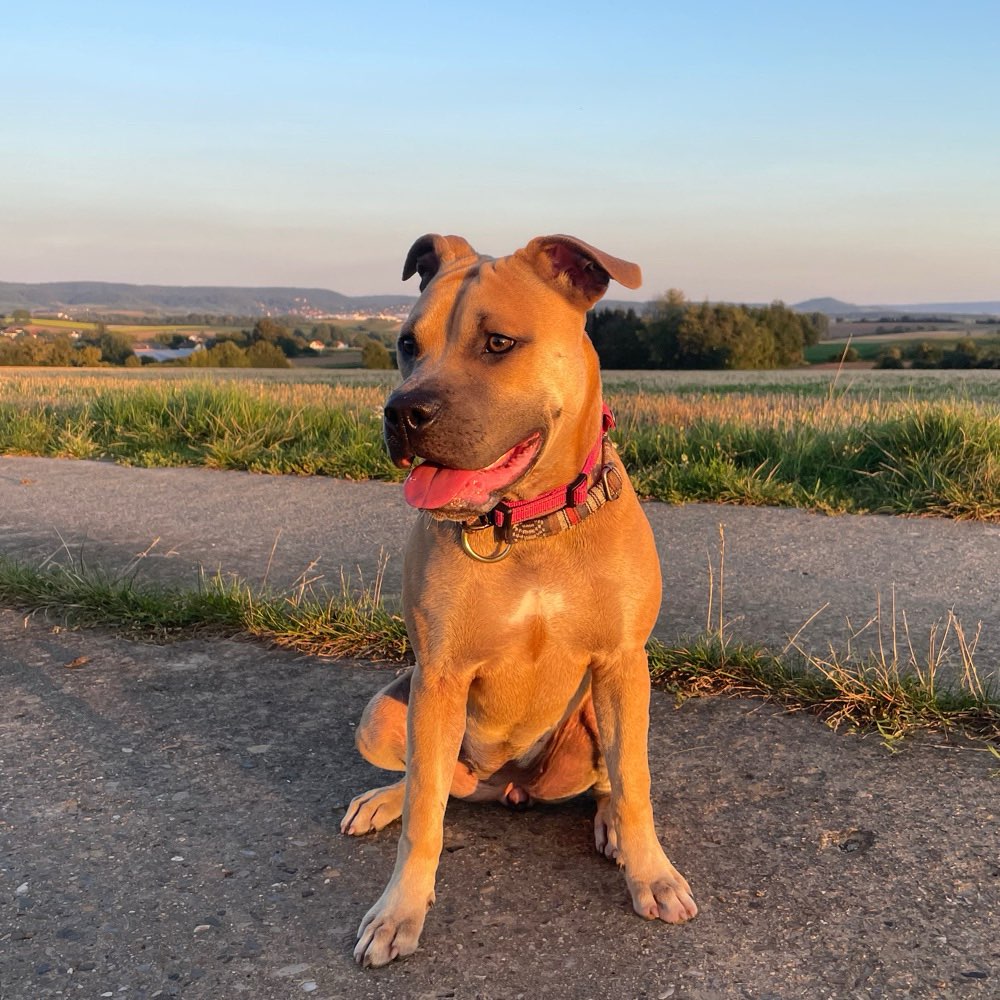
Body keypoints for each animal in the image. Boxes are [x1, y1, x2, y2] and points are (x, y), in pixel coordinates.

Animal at [340, 230, 700, 964]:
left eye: (499, 343)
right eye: (407, 343)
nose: (402, 412)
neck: (528, 522)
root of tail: (506, 785)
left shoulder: (623, 663)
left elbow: (636, 782)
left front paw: (650, 872)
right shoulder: (439, 676)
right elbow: (424, 816)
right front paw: (400, 910)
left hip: (594, 714)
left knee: (607, 778)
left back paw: (609, 825)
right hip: (388, 714)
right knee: (429, 783)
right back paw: (385, 799)